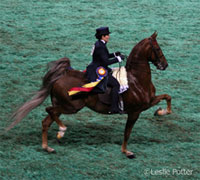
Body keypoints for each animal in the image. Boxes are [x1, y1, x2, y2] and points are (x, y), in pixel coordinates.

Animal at [6, 31, 172, 158]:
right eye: (157, 48)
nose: (165, 65)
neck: (136, 79)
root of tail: (61, 76)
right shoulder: (134, 112)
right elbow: (127, 133)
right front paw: (126, 152)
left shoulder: (148, 102)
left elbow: (167, 97)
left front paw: (160, 112)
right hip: (71, 107)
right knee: (49, 111)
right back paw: (62, 131)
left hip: (63, 105)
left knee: (46, 121)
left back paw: (48, 146)